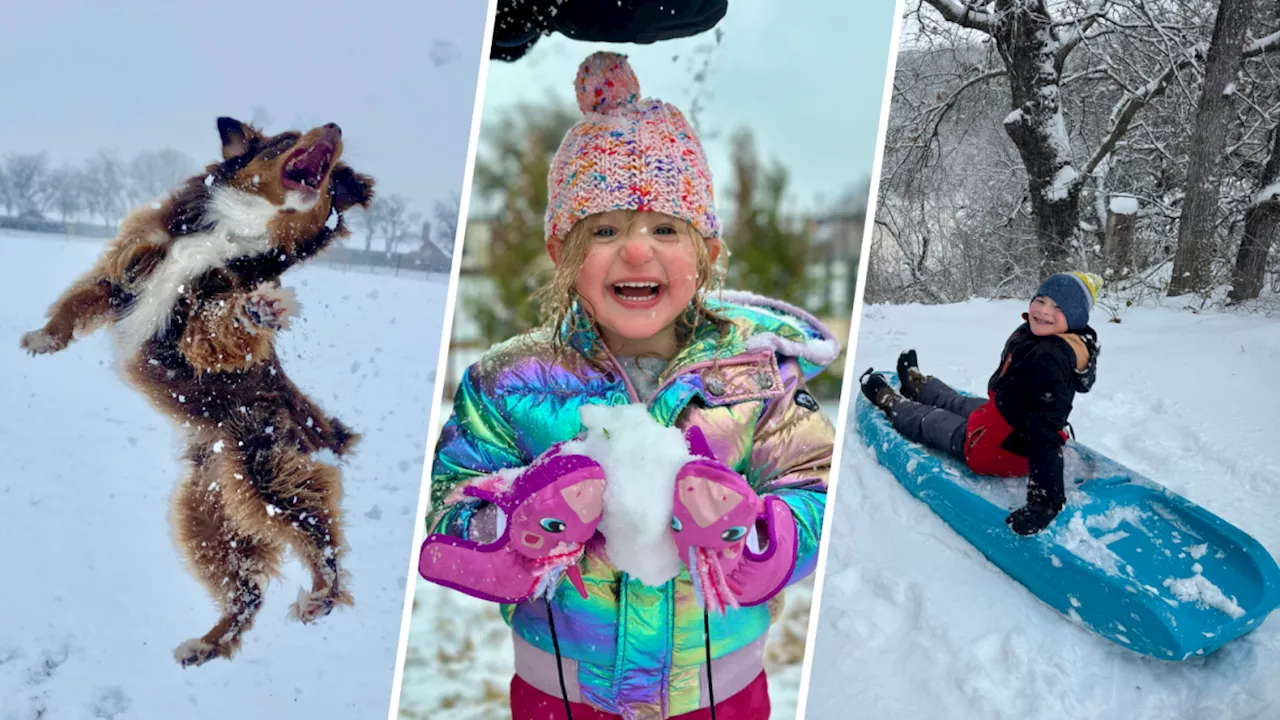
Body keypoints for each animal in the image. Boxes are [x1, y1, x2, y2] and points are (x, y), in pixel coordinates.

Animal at [20, 114, 373, 666]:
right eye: (284, 139)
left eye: (335, 175)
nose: (334, 126)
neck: (235, 232)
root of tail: (320, 427)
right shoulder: (130, 266)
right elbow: (79, 301)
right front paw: (42, 340)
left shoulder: (204, 323)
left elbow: (221, 324)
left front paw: (262, 310)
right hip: (208, 515)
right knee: (247, 590)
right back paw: (205, 645)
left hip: (265, 472)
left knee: (320, 534)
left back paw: (320, 594)